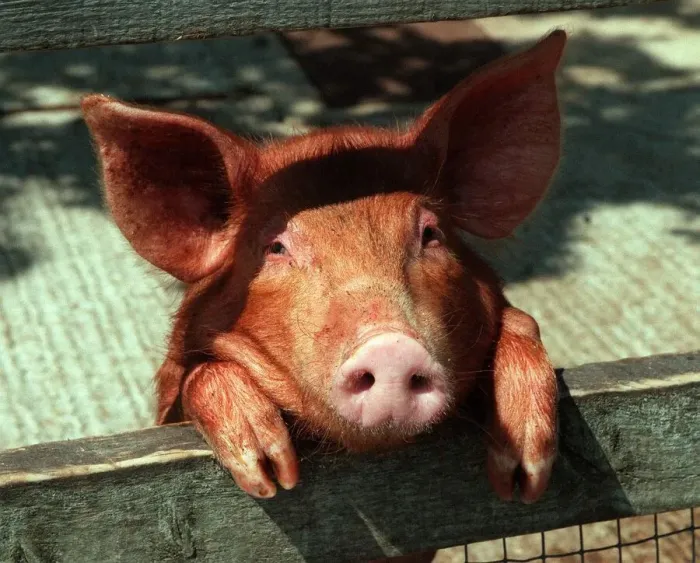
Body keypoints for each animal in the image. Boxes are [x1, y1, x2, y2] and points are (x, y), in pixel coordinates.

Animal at [81, 30, 565, 507]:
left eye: (431, 234)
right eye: (275, 247)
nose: (390, 346)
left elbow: (520, 321)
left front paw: (526, 475)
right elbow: (200, 377)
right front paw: (269, 474)